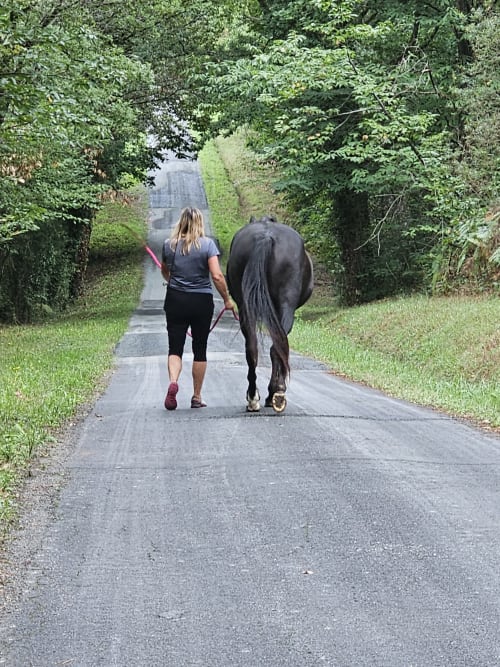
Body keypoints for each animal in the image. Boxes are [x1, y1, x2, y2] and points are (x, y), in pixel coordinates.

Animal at [226, 216, 314, 413]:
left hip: (248, 308)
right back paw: (274, 393)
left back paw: (255, 398)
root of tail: (266, 237)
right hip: (284, 305)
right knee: (276, 347)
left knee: (254, 348)